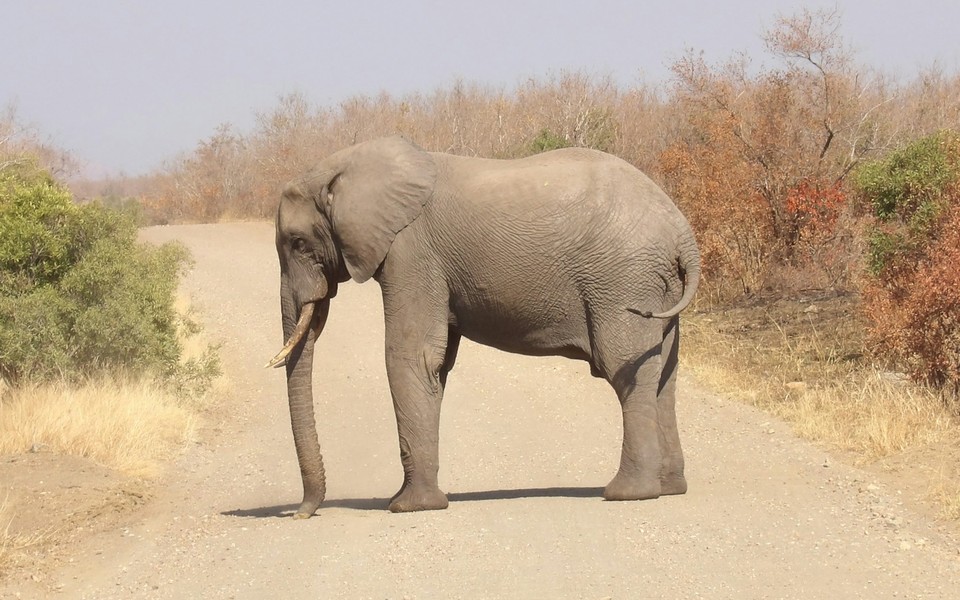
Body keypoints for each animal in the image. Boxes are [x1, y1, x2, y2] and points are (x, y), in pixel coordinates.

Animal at [267, 135, 700, 518]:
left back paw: (627, 493)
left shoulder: (411, 252)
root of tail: (683, 235)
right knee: (665, 377)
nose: (301, 514)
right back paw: (669, 488)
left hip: (624, 281)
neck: (343, 167)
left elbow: (410, 357)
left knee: (627, 374)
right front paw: (408, 499)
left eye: (298, 243)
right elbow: (436, 365)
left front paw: (408, 507)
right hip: (656, 286)